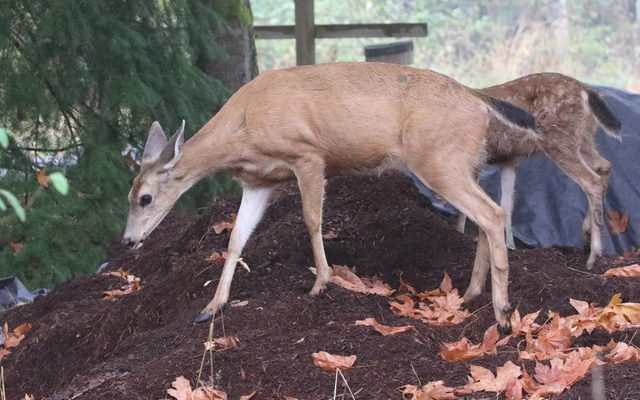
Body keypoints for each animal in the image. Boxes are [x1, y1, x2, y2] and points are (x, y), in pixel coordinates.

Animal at [122, 62, 541, 333]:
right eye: (129, 195)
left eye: (144, 198)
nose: (127, 240)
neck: (242, 130)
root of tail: (479, 100)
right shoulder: (258, 182)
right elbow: (235, 239)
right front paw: (211, 307)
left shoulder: (307, 155)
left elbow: (311, 219)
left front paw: (321, 281)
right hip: (463, 162)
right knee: (489, 213)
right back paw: (471, 294)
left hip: (438, 159)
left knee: (491, 213)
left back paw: (502, 313)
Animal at [455, 73, 621, 288]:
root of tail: (586, 90)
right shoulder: (509, 158)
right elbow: (507, 204)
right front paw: (510, 246)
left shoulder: (477, 158)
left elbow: (465, 206)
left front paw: (459, 233)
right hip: (584, 138)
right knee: (604, 167)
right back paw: (586, 235)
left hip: (558, 138)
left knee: (591, 180)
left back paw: (593, 255)